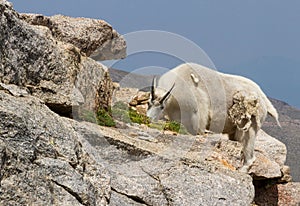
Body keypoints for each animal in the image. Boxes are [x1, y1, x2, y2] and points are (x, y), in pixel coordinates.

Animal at [146, 63, 280, 172]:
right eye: (148, 103)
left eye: (162, 107)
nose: (148, 119)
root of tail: (264, 99)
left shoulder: (197, 118)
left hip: (250, 127)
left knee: (250, 154)